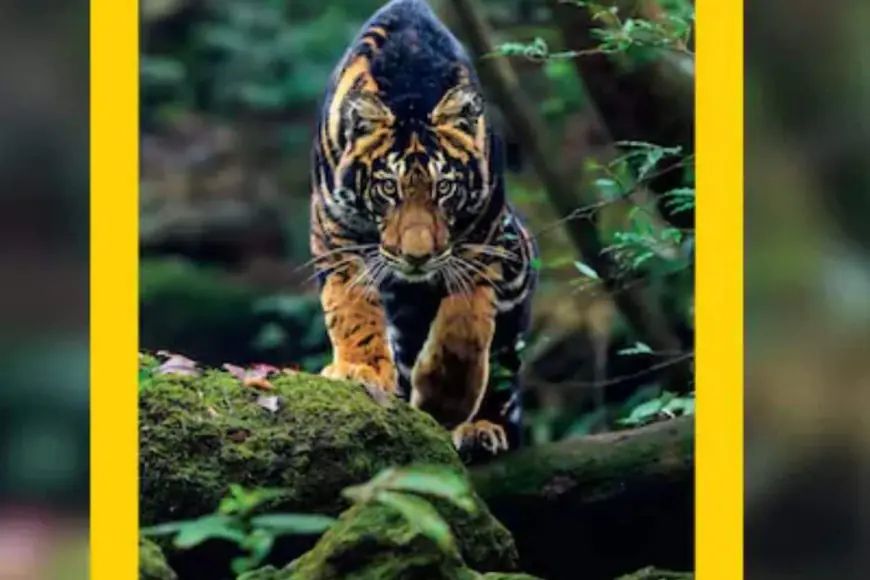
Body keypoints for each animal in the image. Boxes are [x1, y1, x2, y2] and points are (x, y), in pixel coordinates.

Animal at [309, 0, 539, 459]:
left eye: (443, 188)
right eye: (388, 187)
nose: (417, 257)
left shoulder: (483, 240)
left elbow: (464, 326)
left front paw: (445, 400)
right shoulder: (335, 231)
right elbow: (351, 308)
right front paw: (359, 370)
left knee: (503, 372)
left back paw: (481, 429)